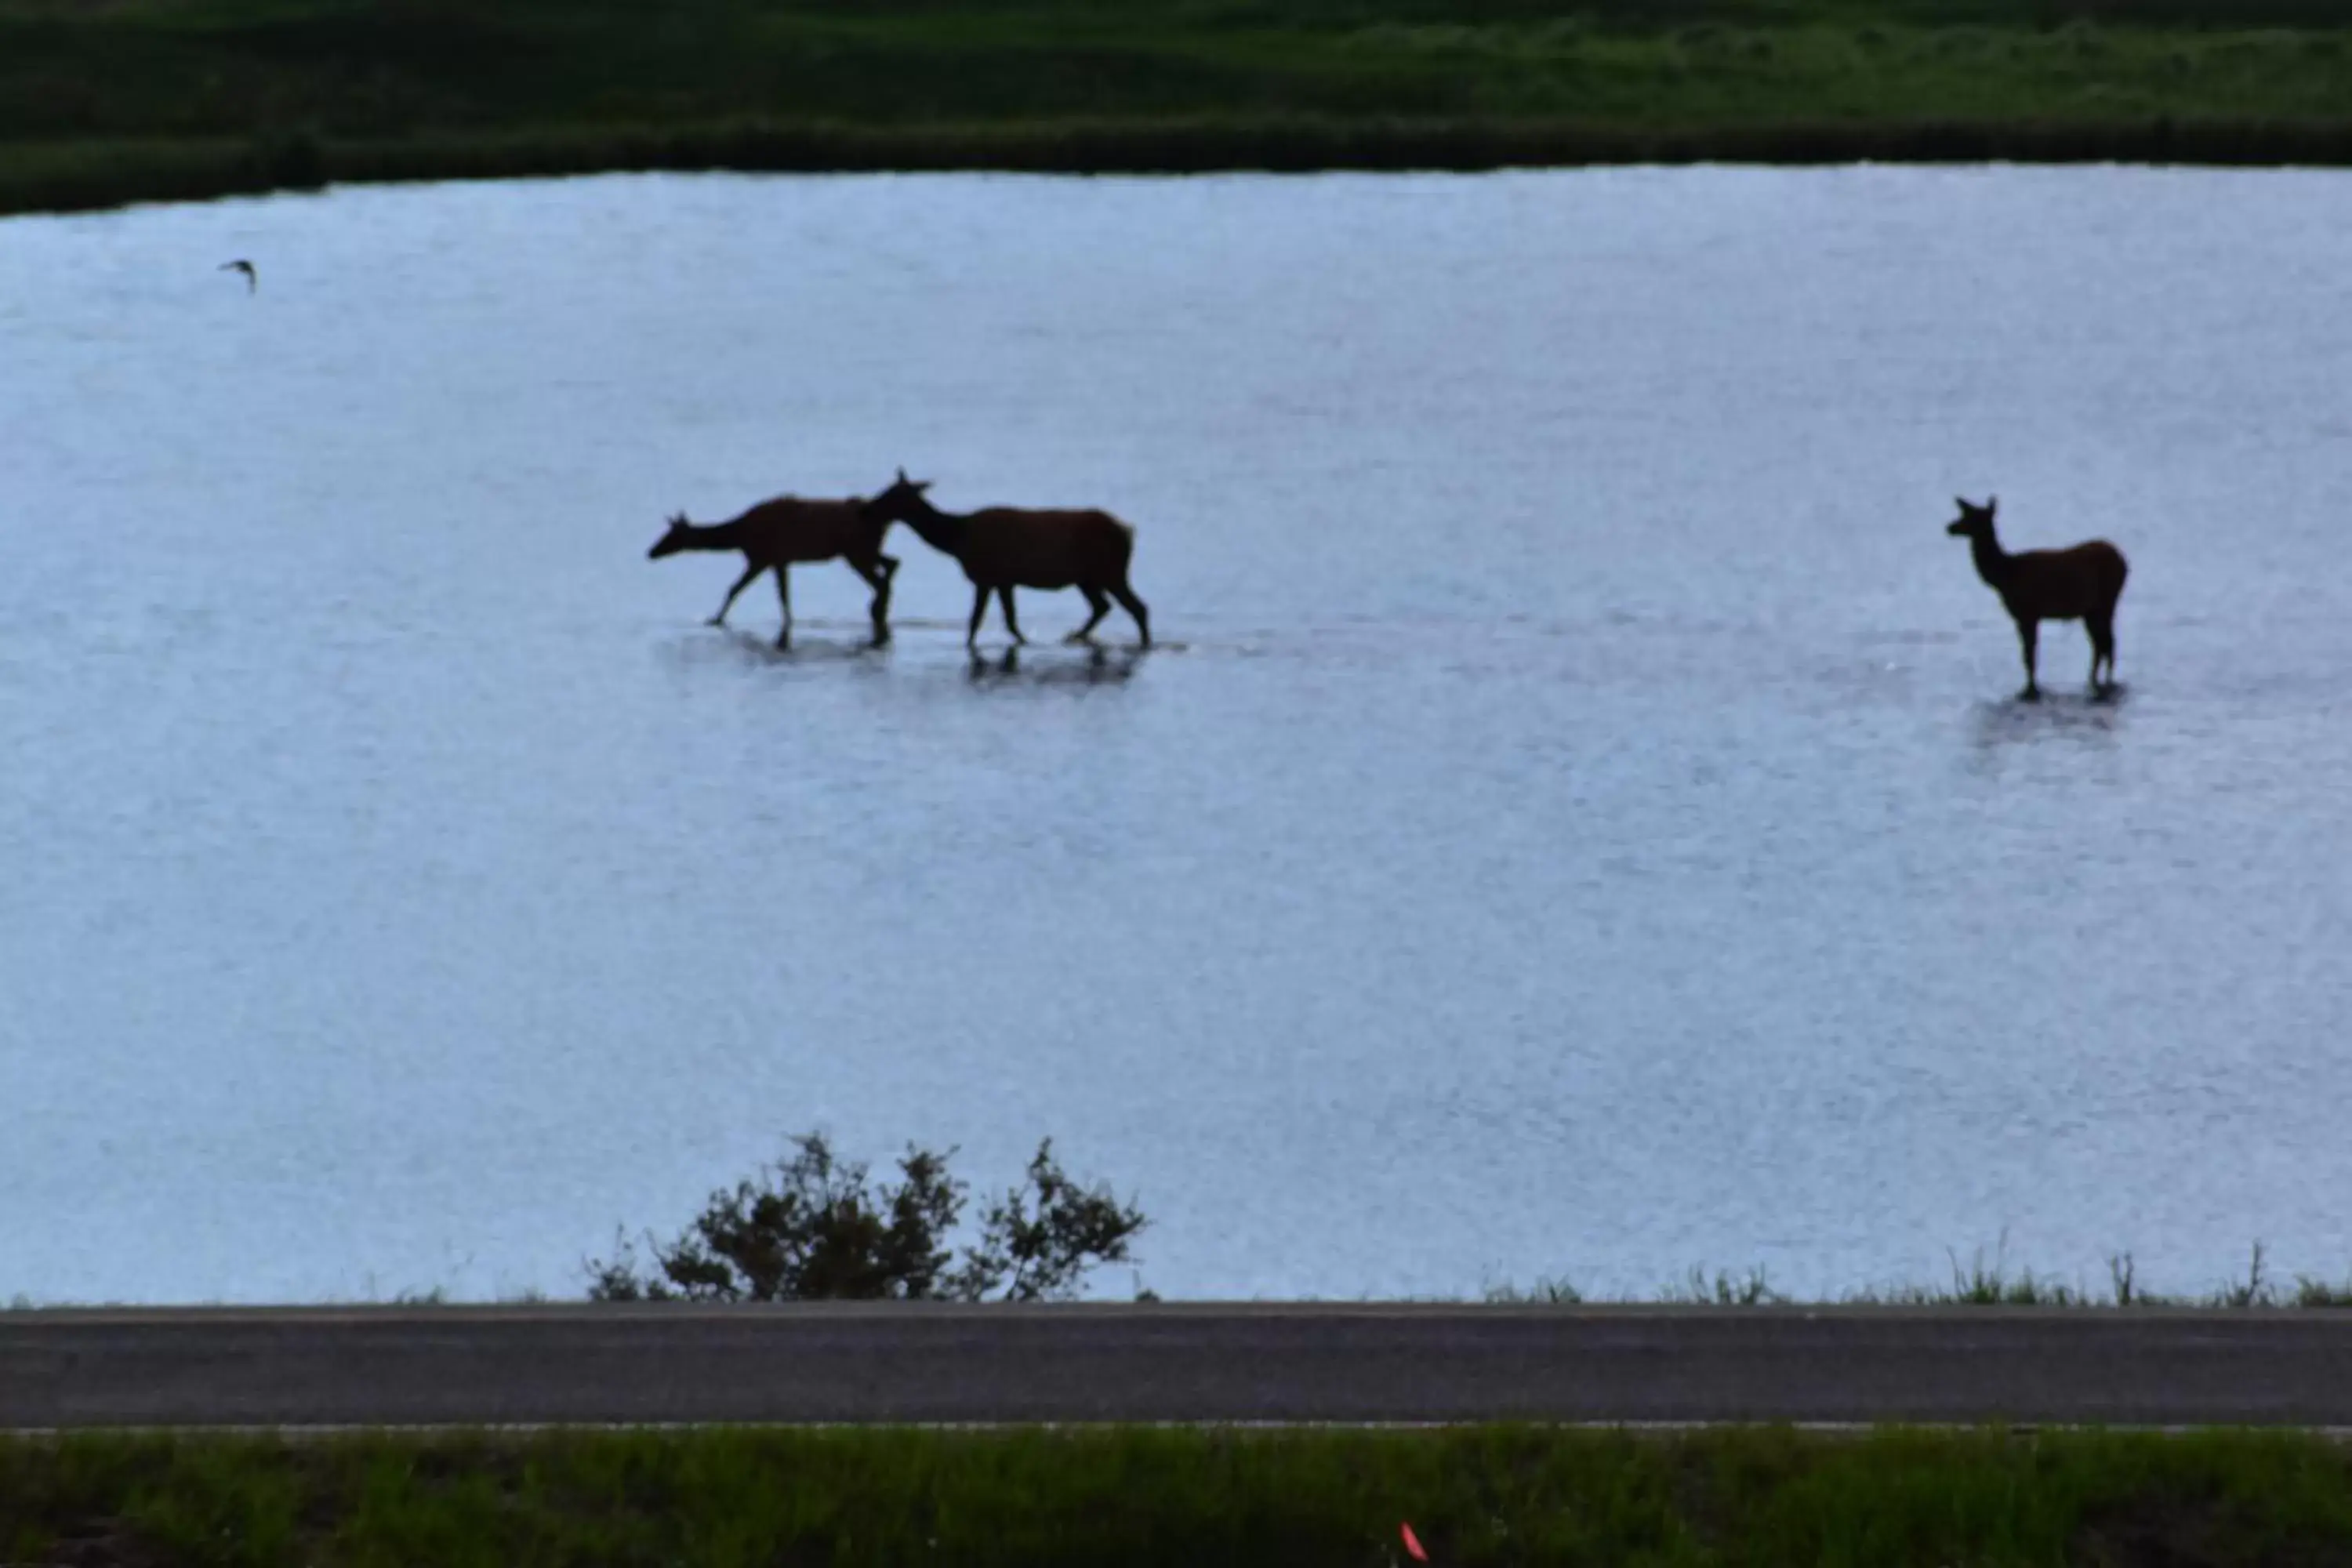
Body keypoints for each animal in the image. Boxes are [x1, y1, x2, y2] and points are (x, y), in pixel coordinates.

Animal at [644, 500, 898, 653]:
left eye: (671, 535)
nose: (650, 552)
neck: (738, 535)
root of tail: (883, 523)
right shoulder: (779, 561)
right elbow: (784, 596)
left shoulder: (761, 558)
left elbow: (735, 588)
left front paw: (715, 618)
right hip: (861, 552)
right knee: (891, 566)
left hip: (855, 553)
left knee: (882, 581)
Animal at [866, 465, 1157, 648]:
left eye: (891, 495)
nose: (869, 508)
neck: (957, 539)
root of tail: (1129, 531)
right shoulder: (1005, 580)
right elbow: (1009, 621)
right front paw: (1026, 641)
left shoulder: (986, 576)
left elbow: (977, 621)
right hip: (1088, 577)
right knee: (1103, 606)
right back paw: (1075, 636)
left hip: (1110, 570)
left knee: (1136, 607)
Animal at [1947, 500, 2136, 700]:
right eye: (1965, 513)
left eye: (1972, 516)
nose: (1949, 527)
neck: (2004, 576)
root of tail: (2124, 561)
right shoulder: (2028, 616)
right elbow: (2028, 654)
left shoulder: (2028, 613)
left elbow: (2029, 655)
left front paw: (2030, 690)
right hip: (2091, 609)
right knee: (2102, 643)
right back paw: (2094, 678)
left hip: (2108, 599)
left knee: (2108, 642)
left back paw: (2103, 681)